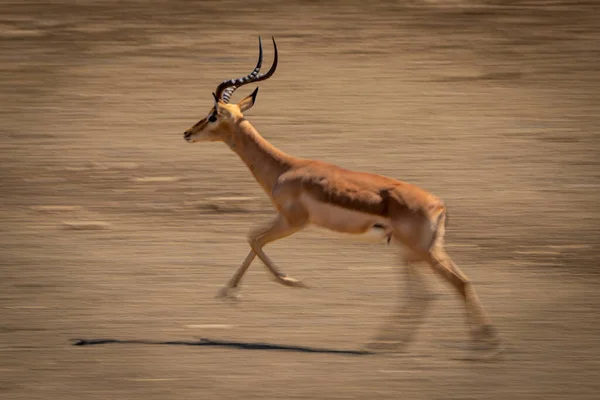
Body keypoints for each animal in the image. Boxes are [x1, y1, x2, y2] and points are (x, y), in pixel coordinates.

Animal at [182, 37, 496, 350]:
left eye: (212, 115)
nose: (187, 133)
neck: (285, 168)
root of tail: (439, 206)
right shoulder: (284, 219)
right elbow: (252, 239)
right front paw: (228, 291)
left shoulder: (293, 222)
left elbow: (253, 239)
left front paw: (291, 282)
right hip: (412, 252)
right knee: (428, 293)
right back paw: (385, 344)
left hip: (421, 253)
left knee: (456, 285)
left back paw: (481, 342)